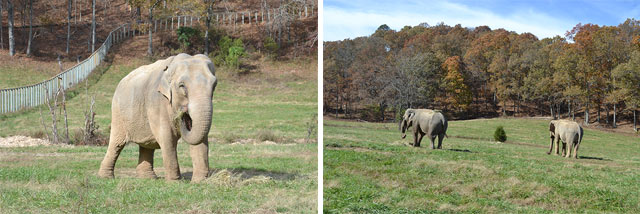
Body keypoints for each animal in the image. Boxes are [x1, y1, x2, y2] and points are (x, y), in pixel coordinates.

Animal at [97, 53, 218, 182]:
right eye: (182, 86)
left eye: (214, 85)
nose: (183, 114)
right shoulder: (157, 100)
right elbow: (166, 136)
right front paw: (175, 182)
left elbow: (201, 139)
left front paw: (200, 181)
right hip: (118, 112)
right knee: (117, 143)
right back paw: (106, 177)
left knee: (146, 144)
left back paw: (147, 178)